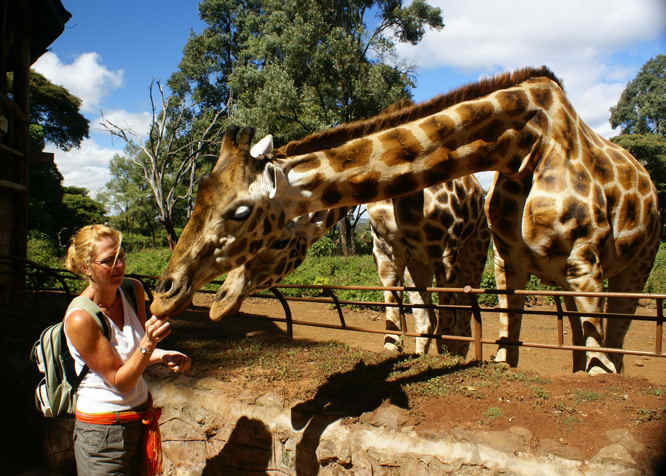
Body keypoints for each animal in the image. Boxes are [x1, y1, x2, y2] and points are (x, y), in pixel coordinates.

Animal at [152, 67, 660, 374]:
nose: (164, 293)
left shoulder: (575, 261)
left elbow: (454, 329)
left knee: (615, 335)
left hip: (627, 269)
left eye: (240, 211)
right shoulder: (406, 251)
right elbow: (415, 325)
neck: (524, 148)